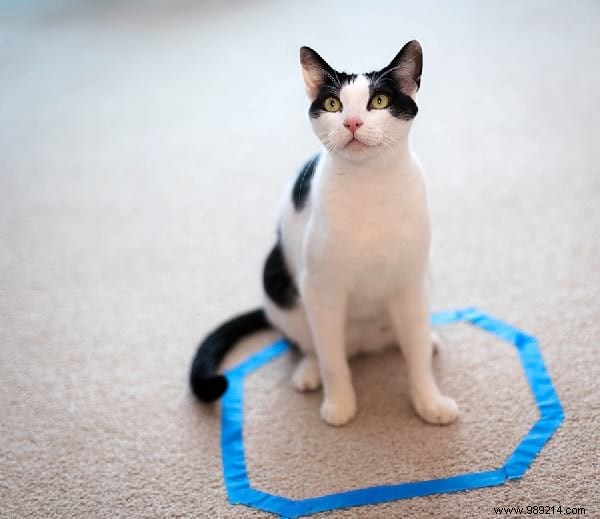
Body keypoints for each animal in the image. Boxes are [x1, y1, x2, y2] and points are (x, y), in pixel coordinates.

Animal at [190, 40, 458, 428]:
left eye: (379, 101)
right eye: (333, 105)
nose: (352, 122)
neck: (369, 186)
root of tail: (363, 344)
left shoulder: (409, 283)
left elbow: (417, 358)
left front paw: (429, 402)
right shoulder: (322, 290)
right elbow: (333, 360)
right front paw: (340, 404)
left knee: (412, 337)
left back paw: (425, 339)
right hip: (278, 281)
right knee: (312, 345)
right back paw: (309, 372)